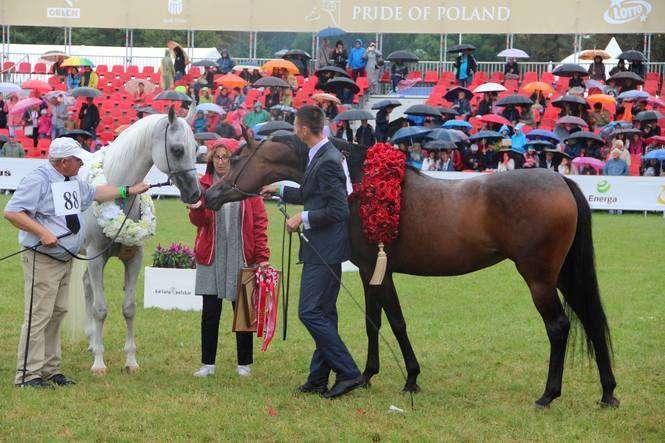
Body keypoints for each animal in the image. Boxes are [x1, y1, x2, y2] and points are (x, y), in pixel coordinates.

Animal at [204, 133, 616, 410]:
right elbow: (378, 322)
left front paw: (402, 378)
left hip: (540, 279)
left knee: (559, 327)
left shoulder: (377, 270)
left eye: (237, 158)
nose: (211, 195)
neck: (361, 187)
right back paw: (608, 393)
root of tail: (560, 180)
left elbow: (391, 322)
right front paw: (376, 375)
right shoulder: (371, 272)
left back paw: (548, 394)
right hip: (564, 275)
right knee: (592, 321)